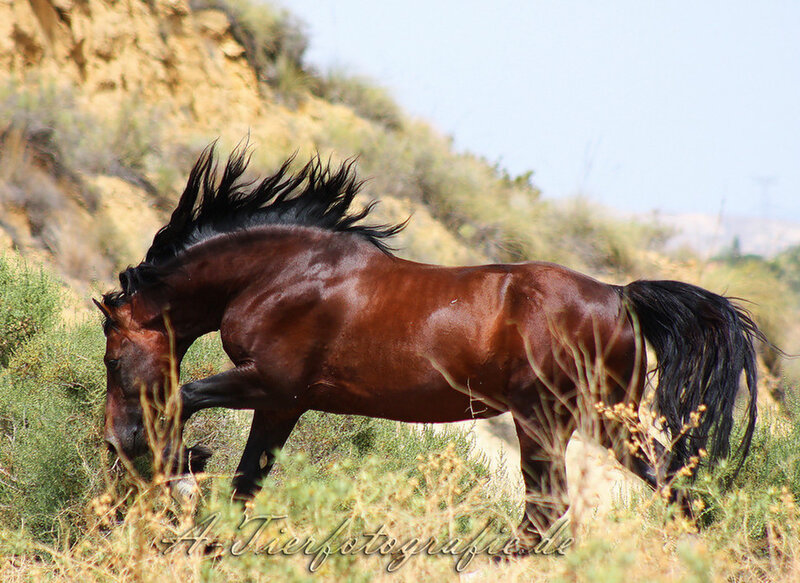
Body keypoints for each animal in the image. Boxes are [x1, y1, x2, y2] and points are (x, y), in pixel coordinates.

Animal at [96, 144, 764, 550]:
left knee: (548, 510)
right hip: (602, 421)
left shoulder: (268, 382)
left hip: (543, 420)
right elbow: (246, 480)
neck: (282, 274)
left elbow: (183, 399)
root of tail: (620, 295)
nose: (114, 441)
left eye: (110, 353)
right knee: (666, 482)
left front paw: (178, 470)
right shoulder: (283, 403)